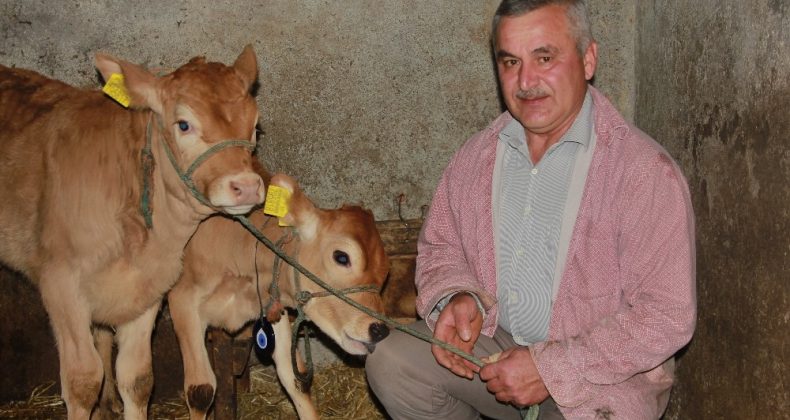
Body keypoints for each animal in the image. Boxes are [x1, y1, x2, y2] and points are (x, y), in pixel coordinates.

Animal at [0, 46, 266, 420]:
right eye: (184, 124)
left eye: (254, 126)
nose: (247, 186)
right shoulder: (60, 284)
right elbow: (83, 381)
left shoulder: (148, 289)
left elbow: (138, 378)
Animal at [169, 172, 392, 418]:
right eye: (341, 257)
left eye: (386, 270)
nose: (380, 330)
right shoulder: (182, 302)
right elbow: (201, 391)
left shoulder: (273, 307)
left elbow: (295, 379)